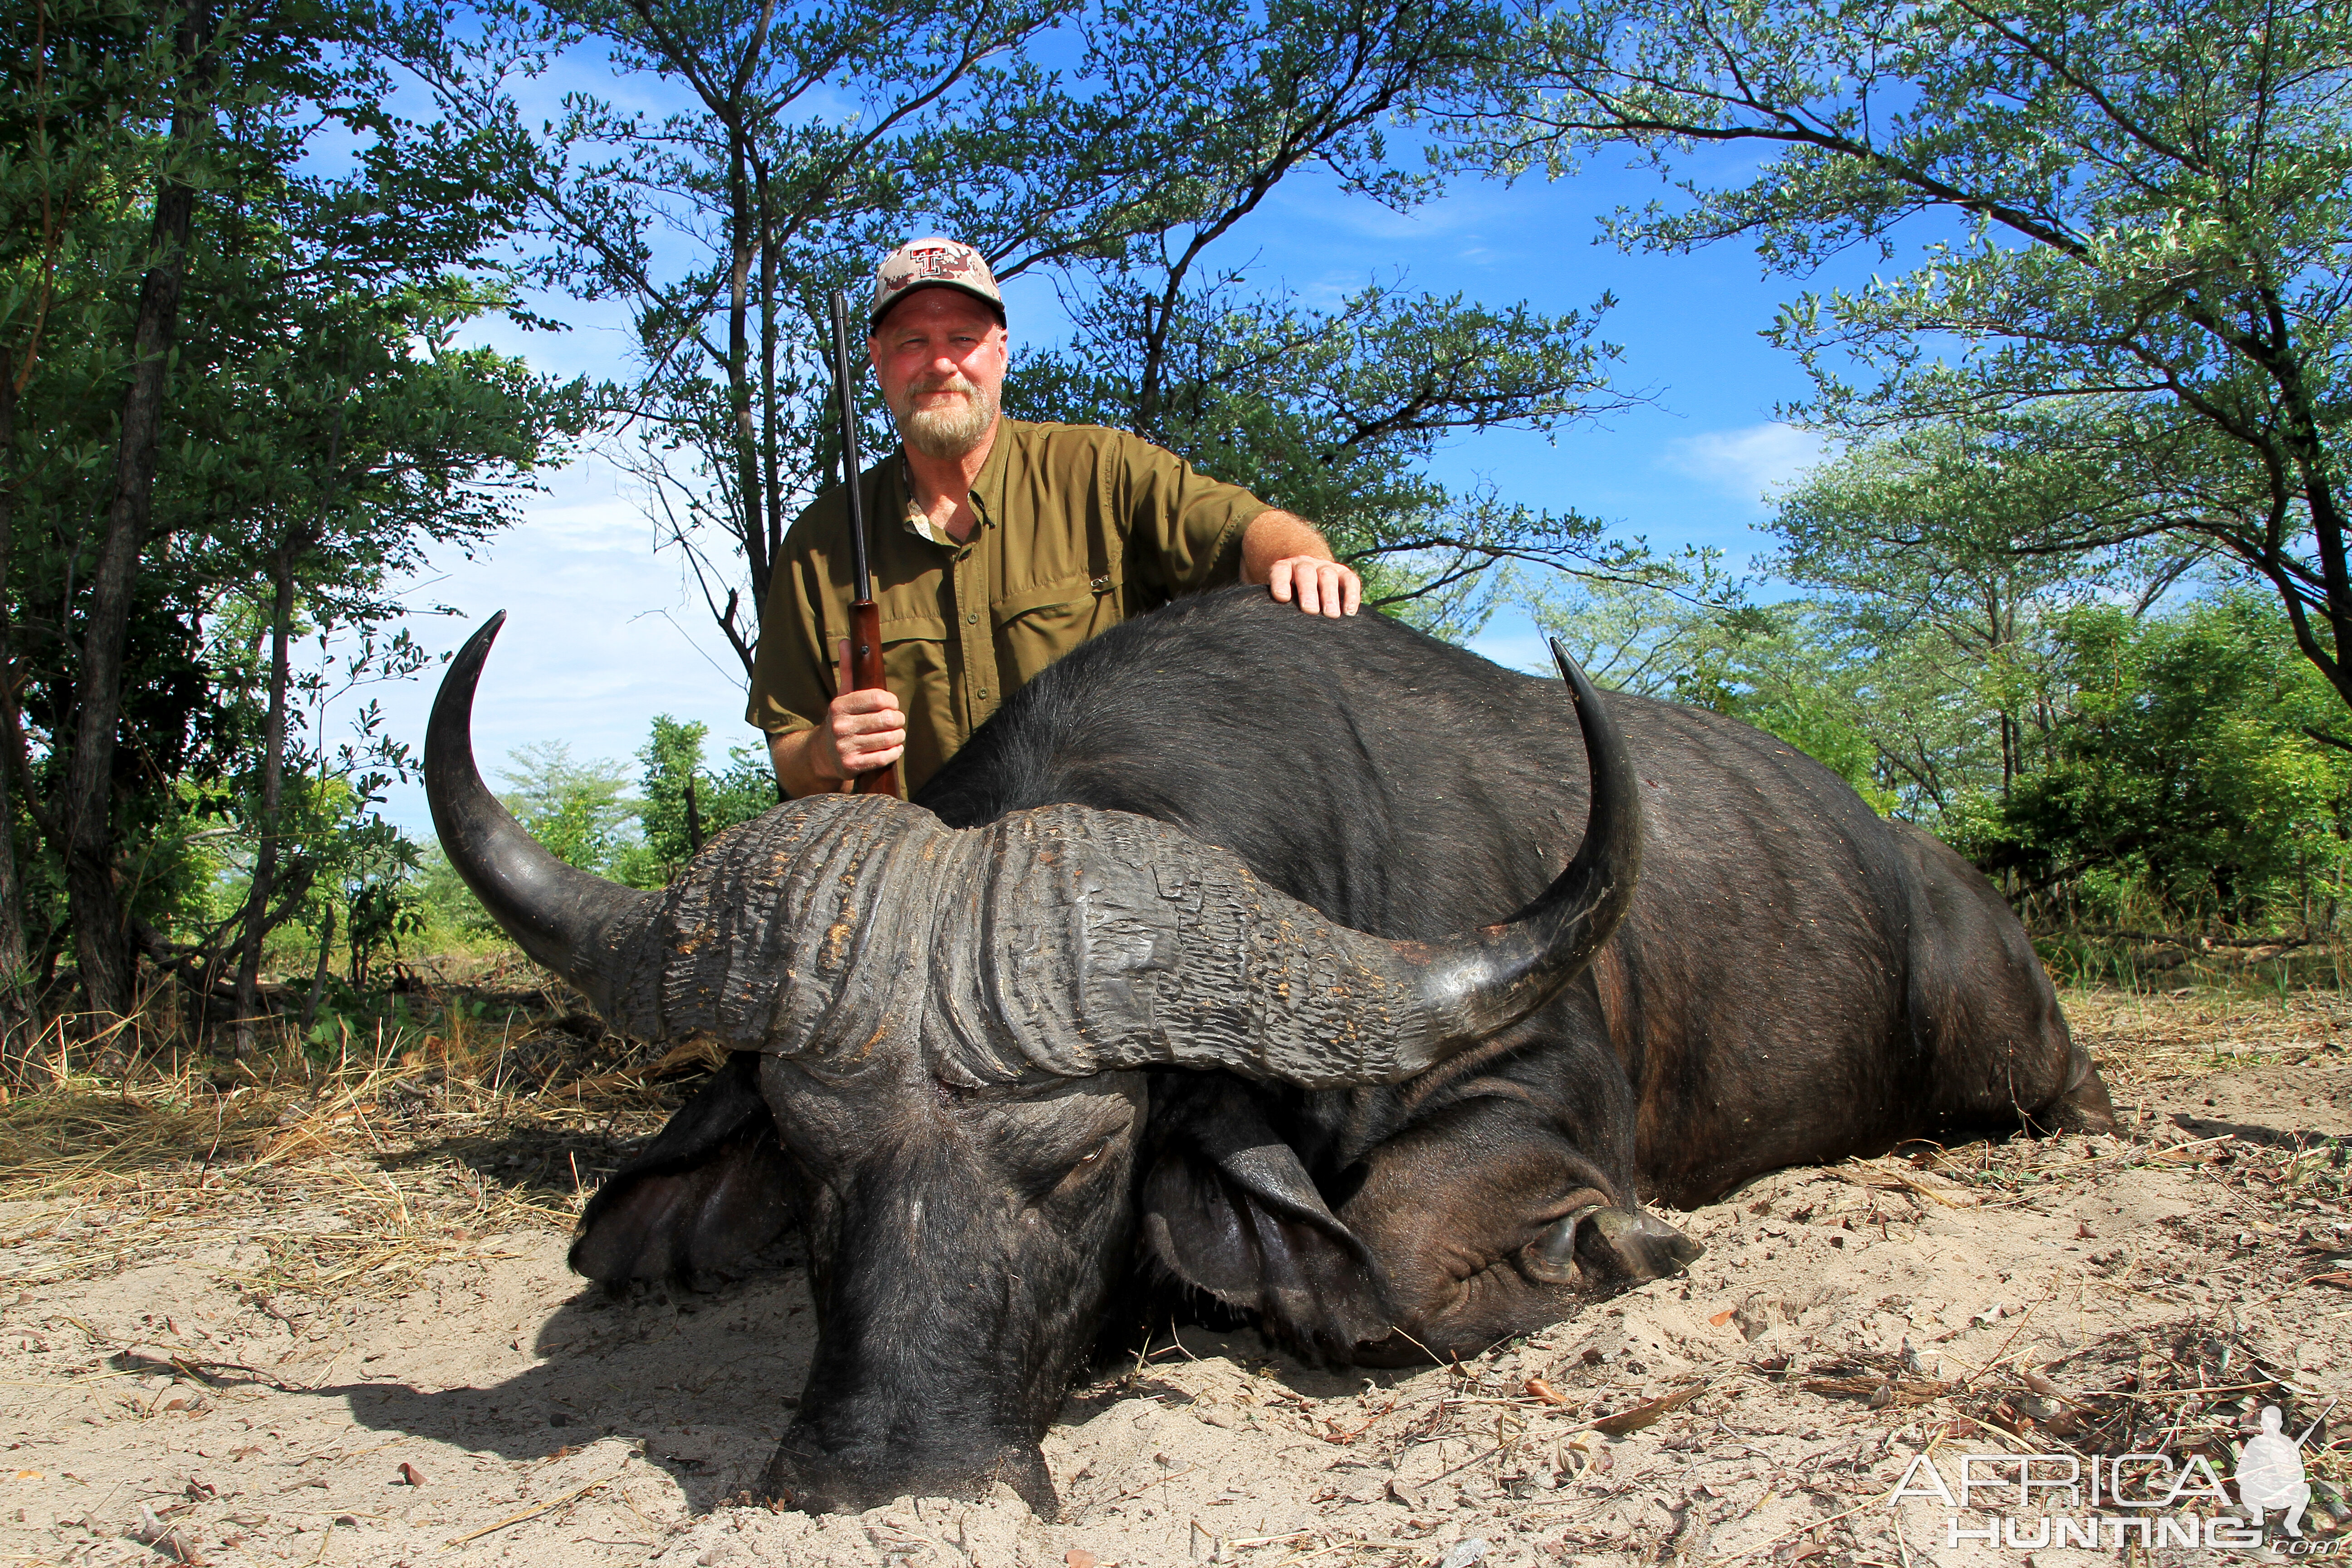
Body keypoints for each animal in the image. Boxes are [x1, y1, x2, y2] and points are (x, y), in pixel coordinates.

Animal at [423, 583, 2117, 1514]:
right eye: (809, 1153)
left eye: (1088, 1157)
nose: (885, 1474)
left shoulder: (1533, 1097)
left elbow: (1404, 1261)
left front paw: (1611, 1249)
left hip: (2016, 1055)